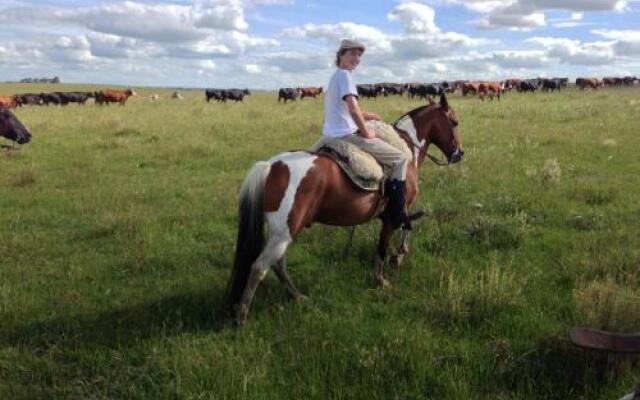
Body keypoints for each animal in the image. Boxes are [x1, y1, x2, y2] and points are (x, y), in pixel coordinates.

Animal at [228, 94, 462, 324]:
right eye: (454, 122)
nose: (459, 154)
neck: (406, 147)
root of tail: (271, 166)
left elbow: (405, 229)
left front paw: (399, 255)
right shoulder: (394, 213)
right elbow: (387, 242)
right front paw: (383, 276)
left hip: (281, 233)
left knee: (278, 265)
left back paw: (296, 296)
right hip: (283, 234)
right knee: (259, 267)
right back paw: (242, 315)